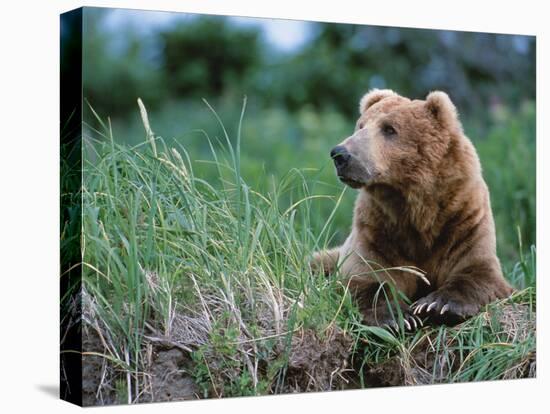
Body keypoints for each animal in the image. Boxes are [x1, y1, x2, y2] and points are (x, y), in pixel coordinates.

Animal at [312, 88, 516, 330]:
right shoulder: (377, 229)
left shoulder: (463, 218)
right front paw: (399, 317)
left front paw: (437, 305)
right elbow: (367, 277)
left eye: (389, 129)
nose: (340, 154)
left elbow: (477, 271)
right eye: (360, 125)